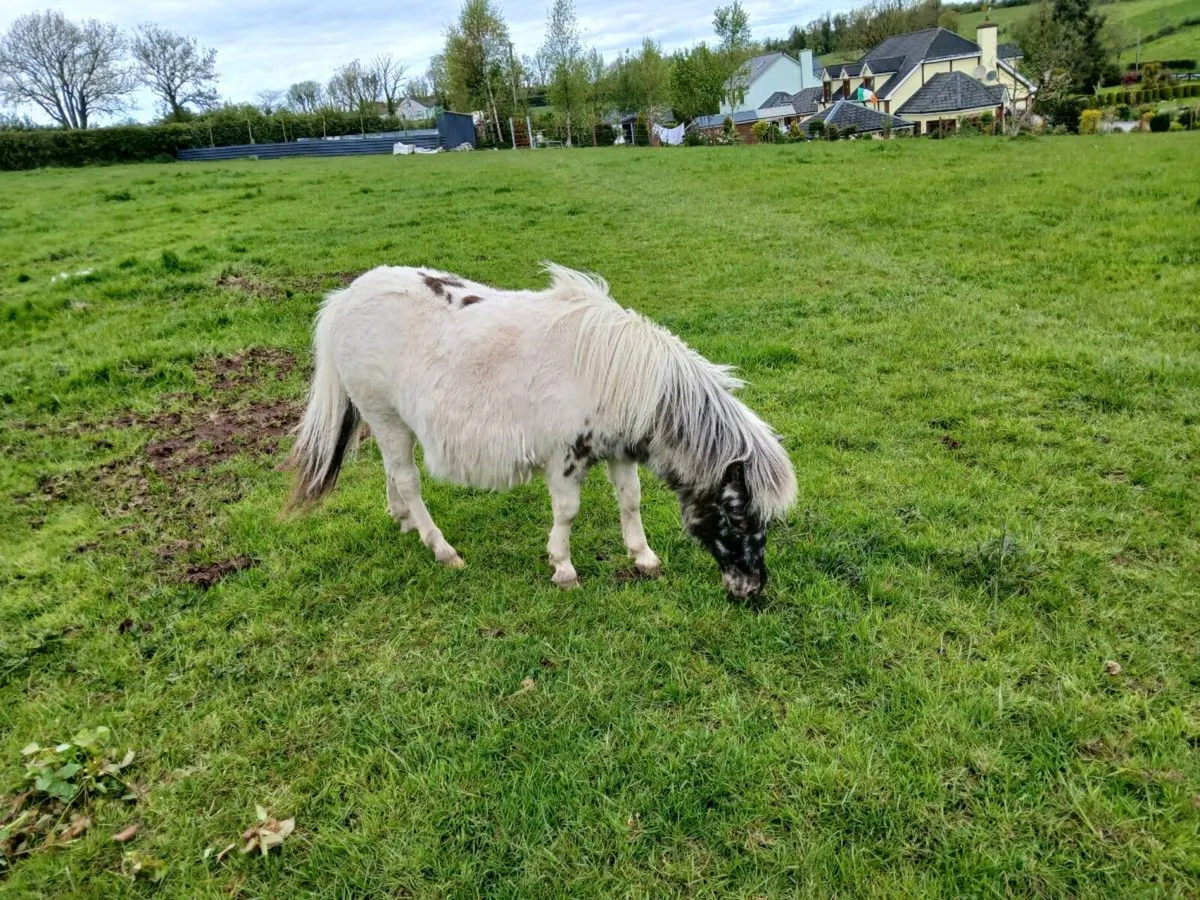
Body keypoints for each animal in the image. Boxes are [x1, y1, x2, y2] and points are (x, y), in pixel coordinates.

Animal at [285, 264, 796, 598]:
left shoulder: (619, 451)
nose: (751, 589)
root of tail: (345, 299)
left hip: (389, 421)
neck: (620, 374)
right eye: (738, 519)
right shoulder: (567, 458)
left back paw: (403, 520)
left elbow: (630, 501)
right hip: (385, 416)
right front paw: (564, 569)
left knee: (392, 473)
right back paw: (442, 549)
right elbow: (567, 513)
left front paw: (644, 558)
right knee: (408, 480)